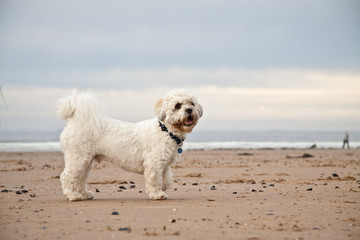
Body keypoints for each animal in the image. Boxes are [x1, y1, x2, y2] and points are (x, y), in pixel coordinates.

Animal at [56, 88, 202, 201]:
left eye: (192, 103)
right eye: (177, 105)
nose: (189, 110)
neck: (166, 130)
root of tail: (74, 120)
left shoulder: (164, 166)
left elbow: (167, 179)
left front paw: (163, 188)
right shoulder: (154, 164)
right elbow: (155, 179)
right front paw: (157, 194)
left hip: (86, 161)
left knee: (80, 178)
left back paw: (84, 194)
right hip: (78, 158)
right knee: (67, 176)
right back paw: (73, 196)